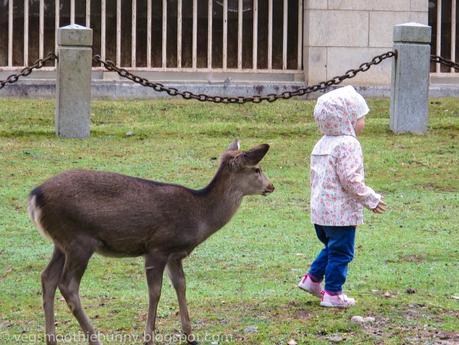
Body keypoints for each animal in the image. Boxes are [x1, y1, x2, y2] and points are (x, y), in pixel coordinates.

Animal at [28, 140, 274, 344]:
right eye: (257, 169)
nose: (271, 186)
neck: (198, 217)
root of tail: (34, 196)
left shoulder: (175, 254)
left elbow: (181, 285)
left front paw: (191, 336)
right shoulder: (157, 247)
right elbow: (155, 292)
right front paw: (148, 338)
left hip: (61, 243)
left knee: (47, 277)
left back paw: (51, 339)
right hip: (79, 240)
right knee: (68, 284)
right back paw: (94, 339)